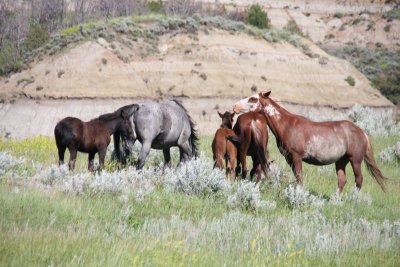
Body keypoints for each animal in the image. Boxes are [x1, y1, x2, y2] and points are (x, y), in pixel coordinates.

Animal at [234, 91, 388, 194]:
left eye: (253, 99)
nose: (235, 106)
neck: (287, 125)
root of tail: (362, 132)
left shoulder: (297, 157)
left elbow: (299, 177)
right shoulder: (290, 159)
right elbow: (297, 177)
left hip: (355, 160)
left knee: (359, 179)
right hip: (341, 161)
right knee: (342, 180)